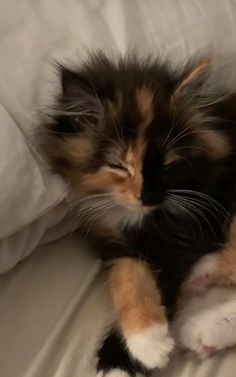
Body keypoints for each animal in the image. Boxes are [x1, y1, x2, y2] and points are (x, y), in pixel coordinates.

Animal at [40, 53, 236, 376]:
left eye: (167, 165)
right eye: (119, 165)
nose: (147, 197)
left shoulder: (186, 232)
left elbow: (165, 279)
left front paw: (122, 360)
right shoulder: (110, 240)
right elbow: (128, 276)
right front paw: (145, 342)